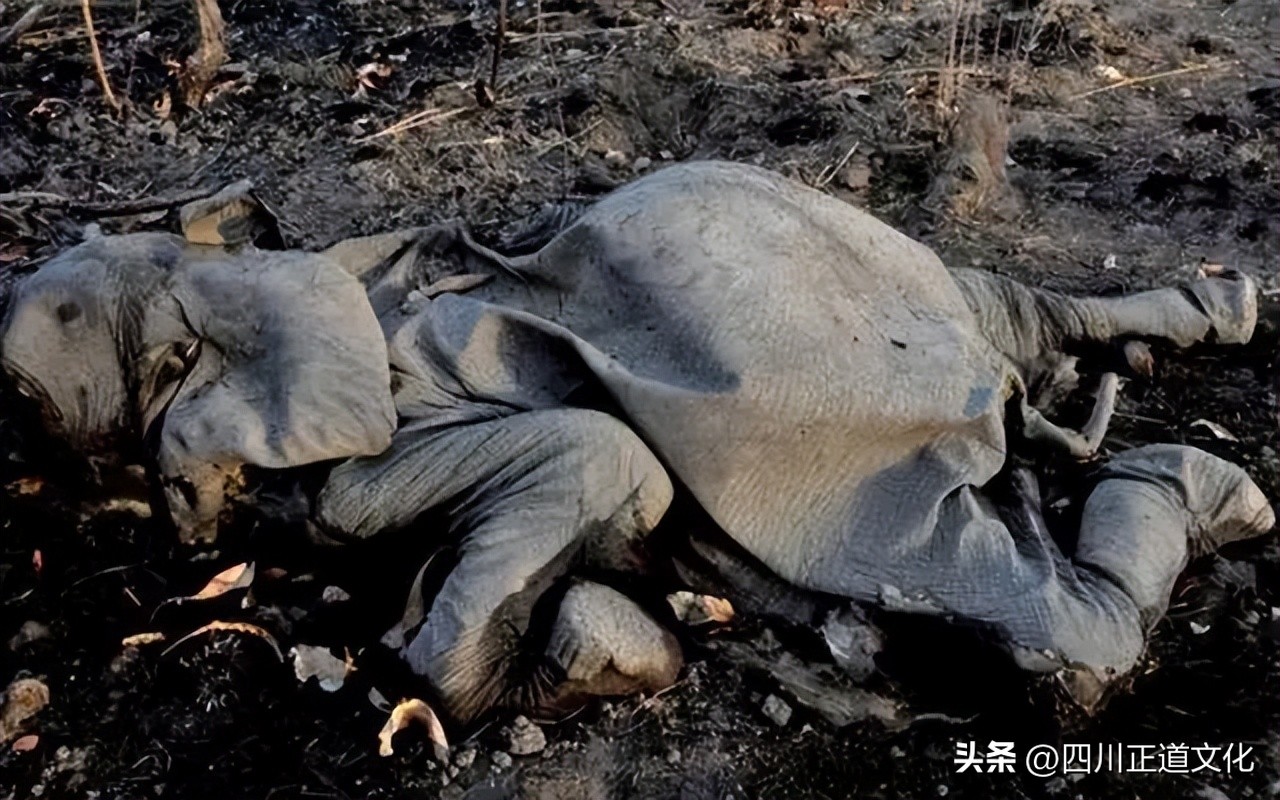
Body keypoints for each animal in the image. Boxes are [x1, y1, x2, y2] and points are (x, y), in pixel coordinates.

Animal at [1, 162, 1273, 726]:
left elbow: (595, 453)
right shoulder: (332, 488)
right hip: (901, 478)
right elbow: (601, 460)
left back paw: (1216, 337)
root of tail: (999, 392)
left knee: (1001, 321)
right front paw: (595, 654)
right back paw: (1206, 481)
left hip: (893, 363)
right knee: (1033, 623)